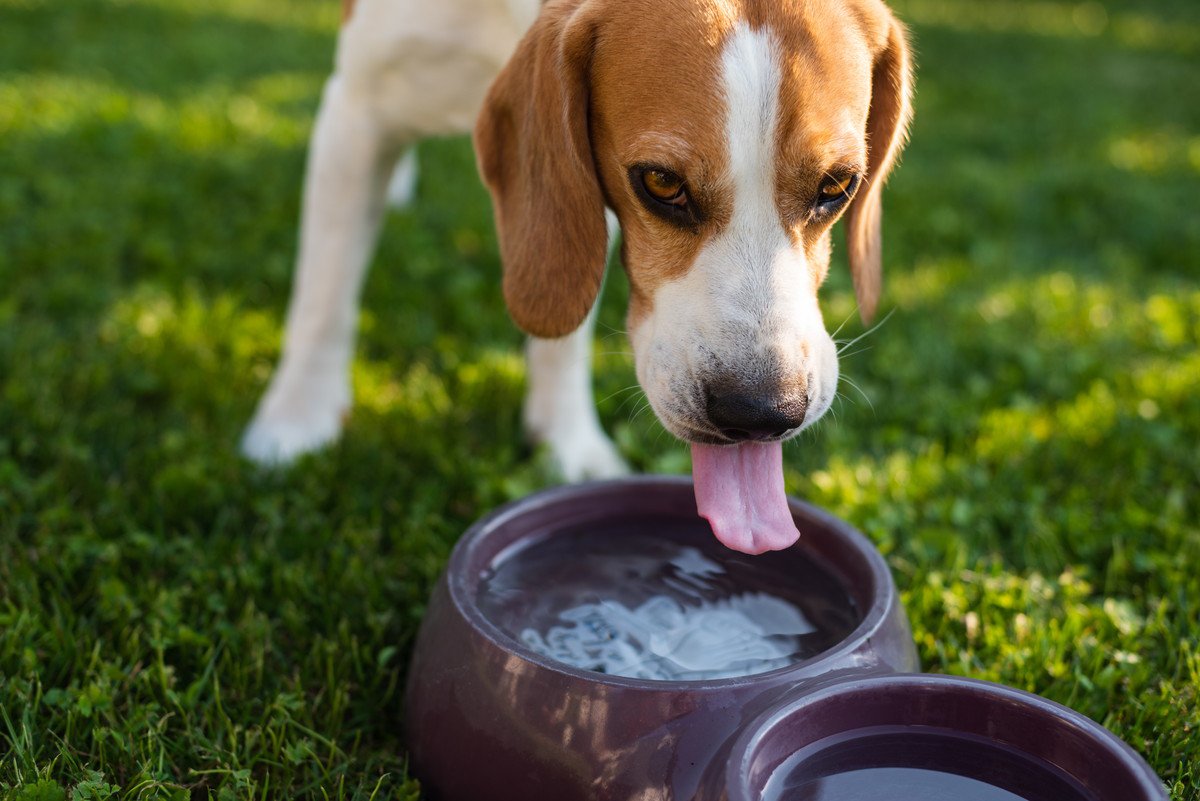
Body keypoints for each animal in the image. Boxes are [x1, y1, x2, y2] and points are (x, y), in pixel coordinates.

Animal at [246, 0, 916, 553]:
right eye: (661, 183)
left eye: (837, 186)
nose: (761, 413)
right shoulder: (356, 111)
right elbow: (324, 296)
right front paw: (294, 424)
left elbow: (564, 329)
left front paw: (565, 442)